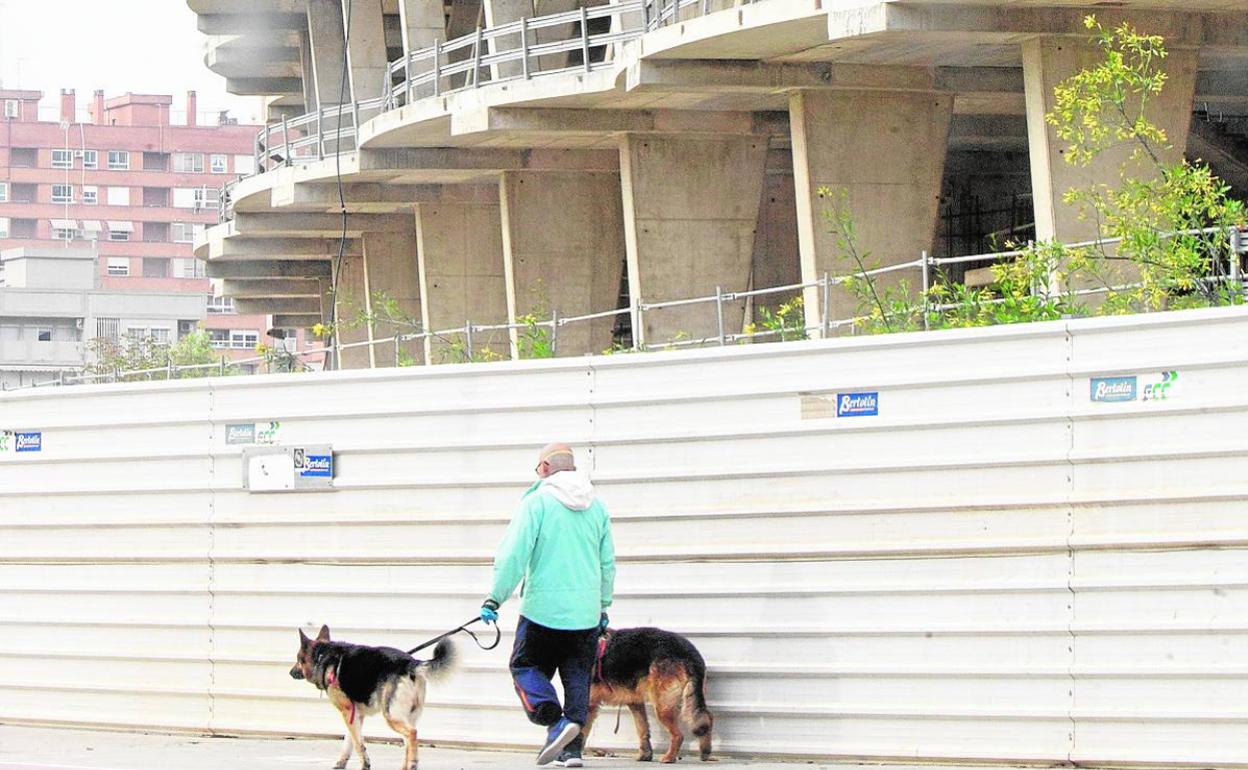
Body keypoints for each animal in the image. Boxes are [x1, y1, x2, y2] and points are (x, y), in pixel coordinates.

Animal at [287, 623, 454, 768]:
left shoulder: (348, 712)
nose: (290, 672)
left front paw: (364, 765)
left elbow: (358, 744)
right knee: (408, 741)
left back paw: (413, 764)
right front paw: (340, 764)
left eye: (298, 659)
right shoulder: (355, 715)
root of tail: (410, 663)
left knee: (412, 734)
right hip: (407, 716)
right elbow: (349, 741)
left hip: (391, 715)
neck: (323, 657)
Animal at [584, 626, 713, 758]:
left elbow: (581, 733)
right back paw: (705, 751)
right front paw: (645, 755)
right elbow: (643, 728)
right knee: (706, 718)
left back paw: (669, 757)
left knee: (679, 735)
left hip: (663, 707)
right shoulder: (635, 702)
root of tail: (690, 653)